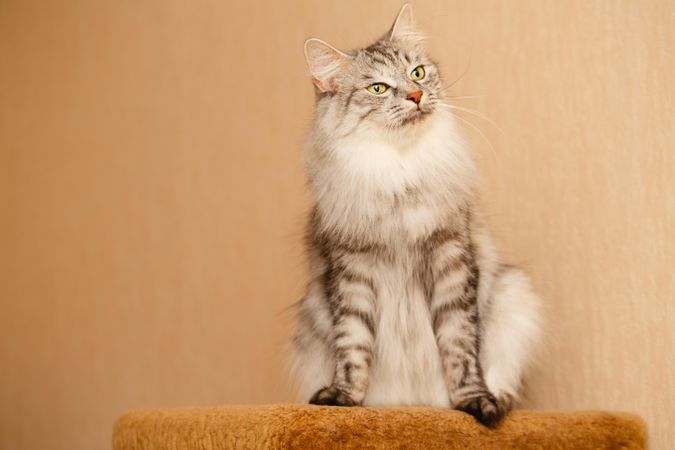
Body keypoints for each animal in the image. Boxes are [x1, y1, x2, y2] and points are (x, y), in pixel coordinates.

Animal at [290, 2, 544, 426]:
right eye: (377, 88)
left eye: (418, 72)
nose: (416, 94)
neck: (399, 173)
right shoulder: (351, 269)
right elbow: (353, 347)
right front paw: (343, 398)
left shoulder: (450, 258)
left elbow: (460, 348)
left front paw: (474, 402)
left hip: (514, 296)